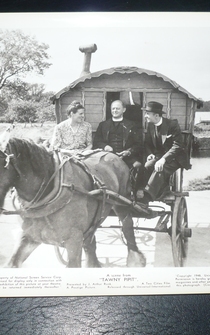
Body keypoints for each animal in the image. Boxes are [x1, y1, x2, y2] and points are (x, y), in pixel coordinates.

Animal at [0, 138, 146, 270]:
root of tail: (115, 154)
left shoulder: (74, 242)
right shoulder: (28, 237)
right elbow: (12, 263)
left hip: (122, 203)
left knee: (127, 225)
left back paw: (135, 260)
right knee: (91, 240)